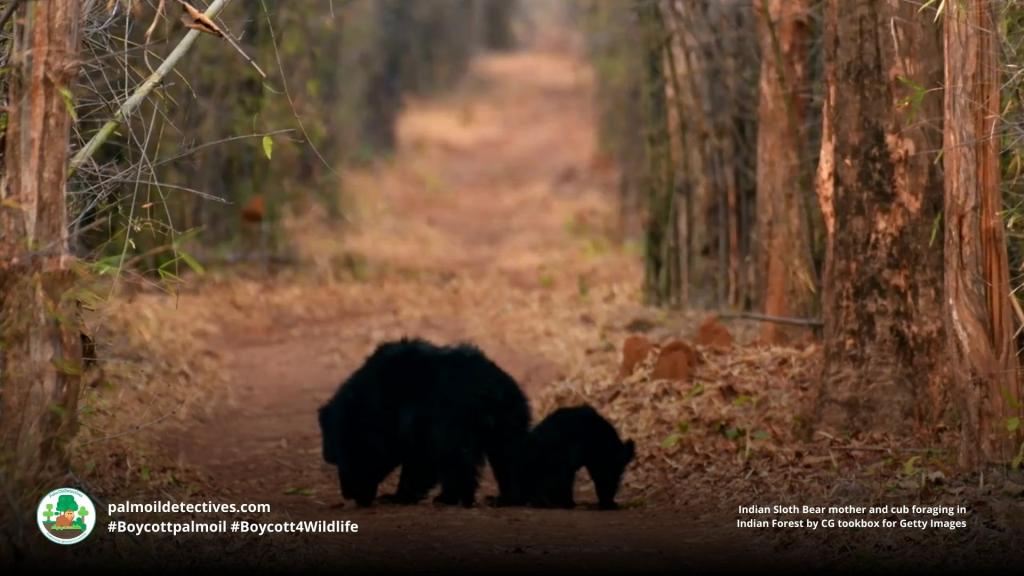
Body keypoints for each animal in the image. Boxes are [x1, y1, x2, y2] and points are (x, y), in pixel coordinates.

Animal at [317, 338, 528, 504]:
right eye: (333, 460)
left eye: (358, 458)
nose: (350, 495)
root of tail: (492, 390)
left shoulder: (419, 420)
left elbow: (421, 459)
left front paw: (397, 497)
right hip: (510, 418)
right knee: (509, 456)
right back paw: (505, 499)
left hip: (462, 423)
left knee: (456, 459)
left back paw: (449, 498)